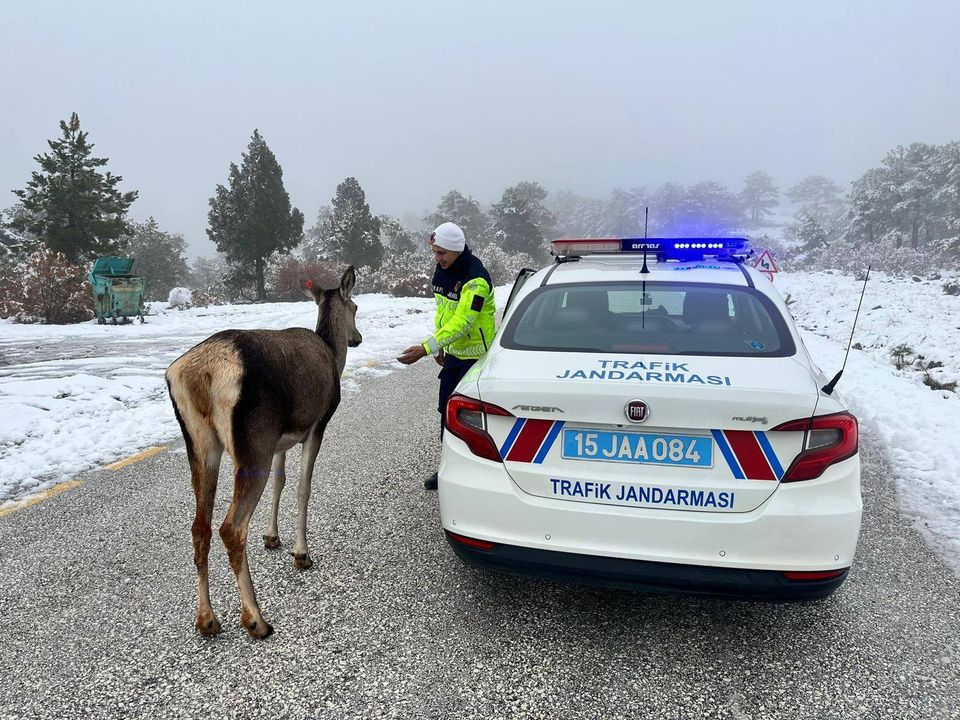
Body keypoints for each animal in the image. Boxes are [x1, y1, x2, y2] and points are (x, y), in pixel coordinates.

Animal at [165, 268, 360, 640]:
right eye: (355, 307)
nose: (357, 338)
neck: (333, 354)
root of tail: (199, 375)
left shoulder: (280, 441)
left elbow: (279, 484)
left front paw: (272, 536)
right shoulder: (316, 424)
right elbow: (303, 489)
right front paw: (301, 554)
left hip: (202, 444)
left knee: (200, 526)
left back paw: (207, 619)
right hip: (254, 440)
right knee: (231, 527)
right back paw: (256, 618)